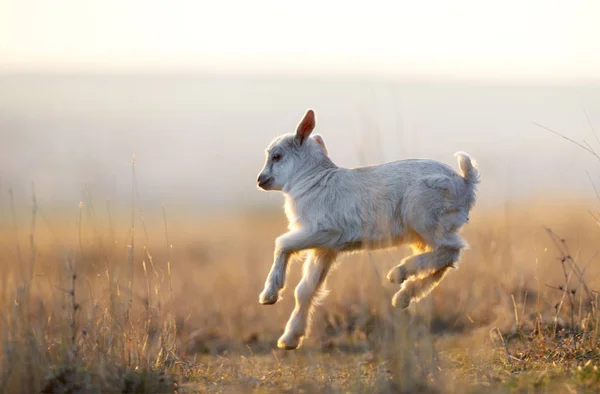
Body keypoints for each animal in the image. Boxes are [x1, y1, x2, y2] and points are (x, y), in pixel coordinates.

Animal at [255, 109, 480, 350]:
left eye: (277, 156)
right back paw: (402, 297)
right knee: (445, 260)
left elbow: (282, 244)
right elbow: (305, 290)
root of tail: (466, 183)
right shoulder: (325, 249)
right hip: (423, 232)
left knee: (452, 249)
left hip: (424, 217)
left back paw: (397, 274)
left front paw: (268, 296)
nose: (260, 180)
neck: (311, 180)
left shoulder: (323, 232)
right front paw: (289, 340)